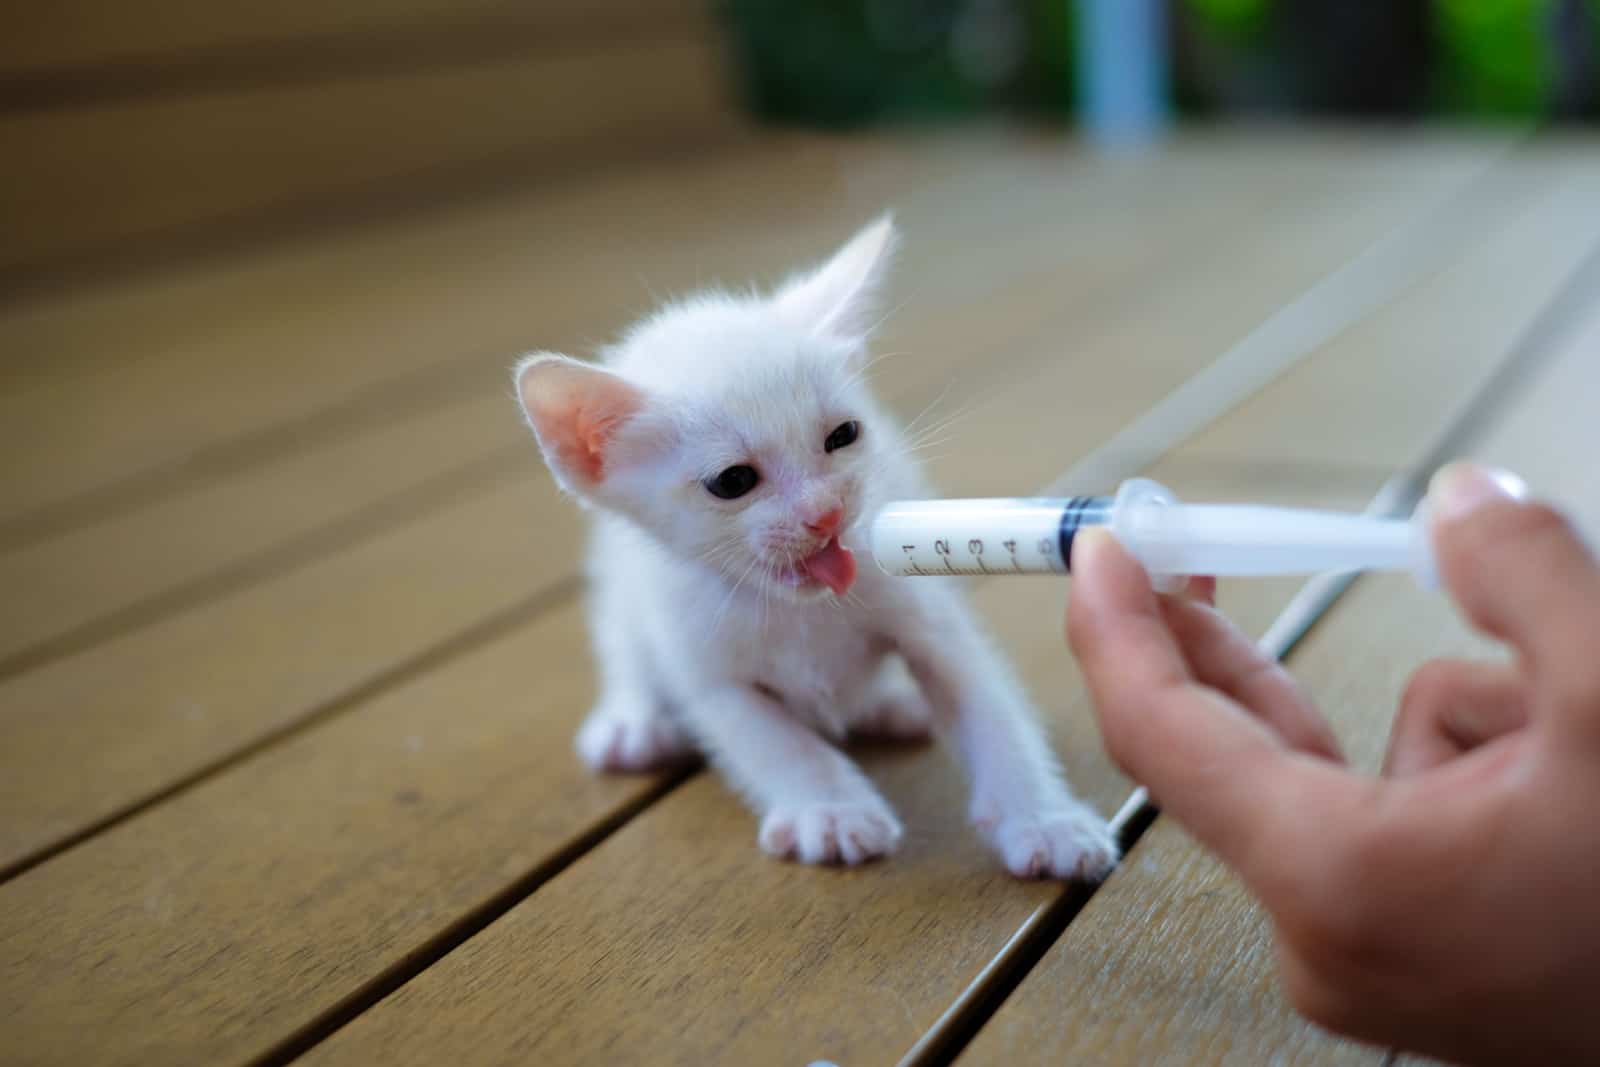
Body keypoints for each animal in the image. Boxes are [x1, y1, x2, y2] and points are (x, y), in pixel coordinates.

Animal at [512, 219, 1113, 883]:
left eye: (843, 435)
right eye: (733, 481)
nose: (824, 513)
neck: (797, 609)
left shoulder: (930, 622)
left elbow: (993, 713)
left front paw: (1044, 818)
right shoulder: (709, 673)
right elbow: (777, 743)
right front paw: (830, 809)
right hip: (623, 587)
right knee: (622, 639)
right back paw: (632, 721)